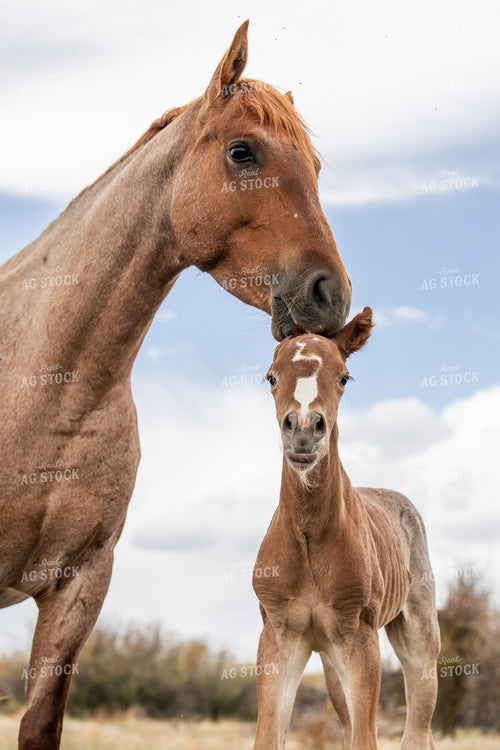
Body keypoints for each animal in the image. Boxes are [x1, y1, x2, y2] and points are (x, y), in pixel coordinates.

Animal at [253, 306, 440, 750]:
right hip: (330, 664)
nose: (304, 427)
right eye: (271, 376)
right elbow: (268, 737)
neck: (309, 539)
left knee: (418, 729)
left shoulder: (359, 638)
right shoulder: (278, 636)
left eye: (343, 377)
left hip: (420, 639)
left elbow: (367, 739)